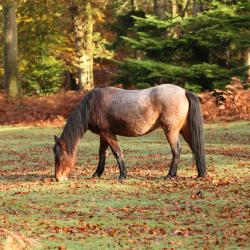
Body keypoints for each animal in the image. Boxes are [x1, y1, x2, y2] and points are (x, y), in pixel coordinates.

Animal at [52, 84, 207, 182]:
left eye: (59, 157)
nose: (58, 178)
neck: (92, 105)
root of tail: (184, 92)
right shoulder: (103, 135)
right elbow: (102, 153)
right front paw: (97, 174)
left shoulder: (108, 133)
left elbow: (117, 152)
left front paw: (122, 175)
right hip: (185, 130)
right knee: (195, 147)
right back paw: (201, 173)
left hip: (171, 130)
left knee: (176, 150)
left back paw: (170, 175)